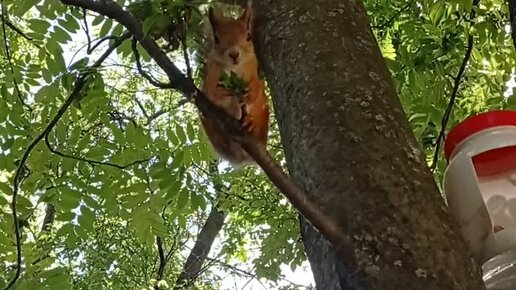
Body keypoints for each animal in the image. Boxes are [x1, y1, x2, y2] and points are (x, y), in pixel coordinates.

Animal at [200, 3, 270, 167]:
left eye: (248, 36)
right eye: (216, 39)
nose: (234, 54)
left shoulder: (255, 73)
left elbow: (257, 89)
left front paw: (249, 92)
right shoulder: (210, 78)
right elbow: (213, 93)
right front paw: (222, 90)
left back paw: (250, 122)